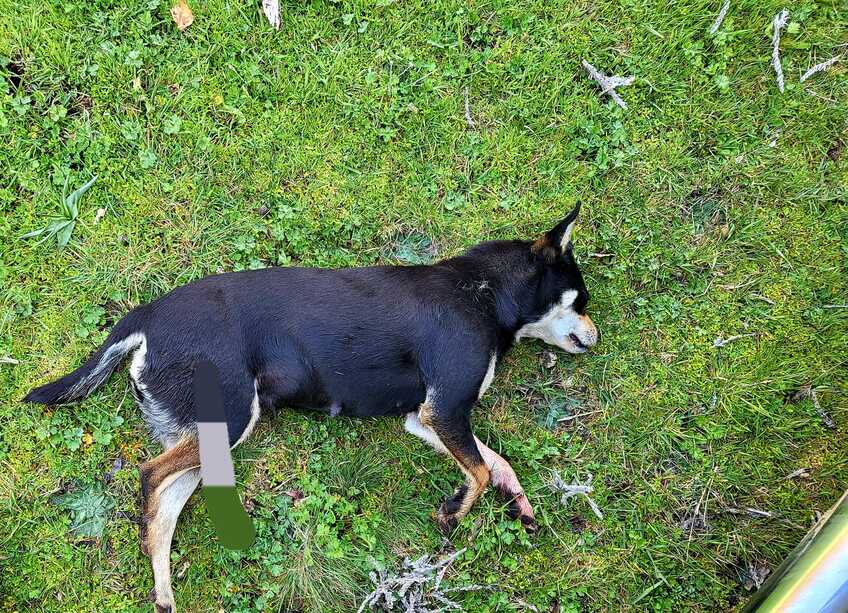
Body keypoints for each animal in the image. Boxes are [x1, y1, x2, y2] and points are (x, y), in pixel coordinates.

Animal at [24, 203, 596, 608]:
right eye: (581, 300)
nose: (596, 334)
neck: (484, 294)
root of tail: (144, 316)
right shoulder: (445, 409)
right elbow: (476, 469)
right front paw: (455, 510)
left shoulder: (427, 419)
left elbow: (495, 461)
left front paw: (517, 501)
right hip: (230, 418)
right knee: (149, 476)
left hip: (202, 435)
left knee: (165, 502)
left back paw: (163, 590)